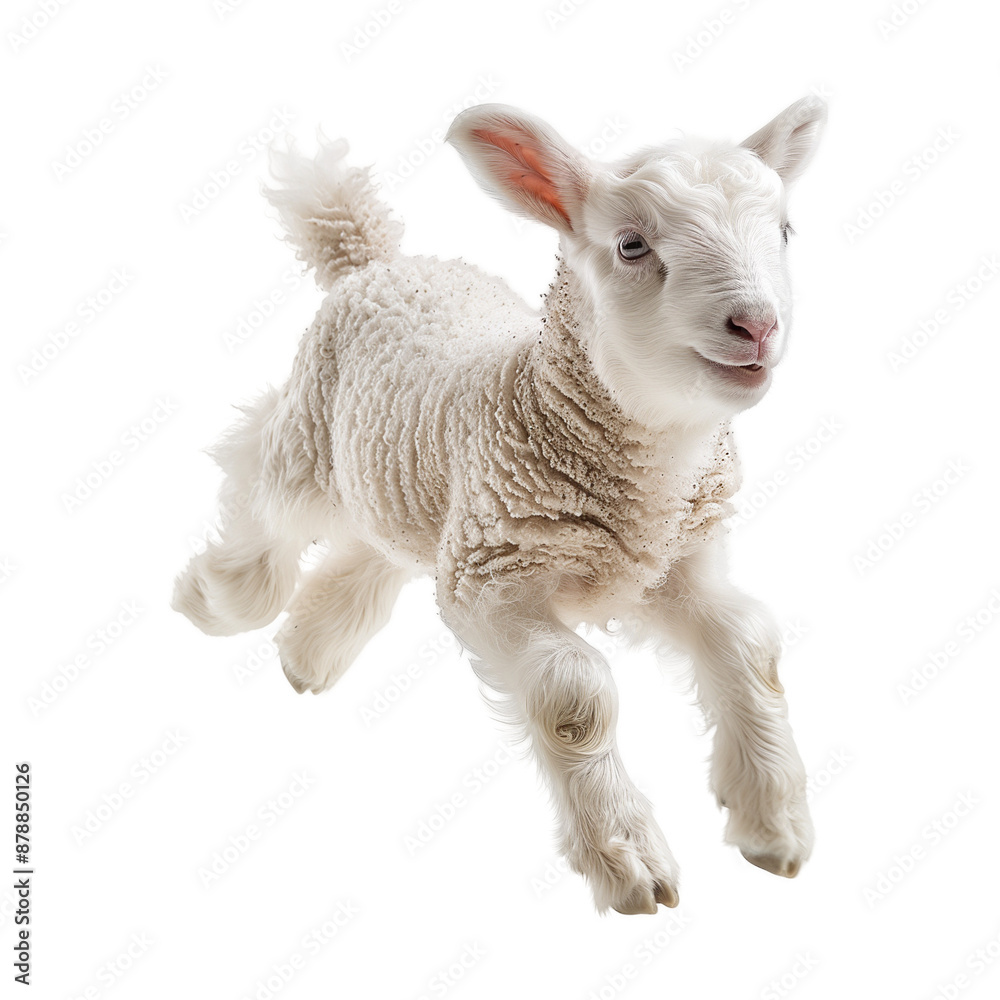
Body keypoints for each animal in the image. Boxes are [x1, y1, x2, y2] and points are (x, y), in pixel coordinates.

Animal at [173, 97, 827, 915]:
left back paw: (308, 653)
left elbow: (750, 645)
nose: (757, 327)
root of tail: (377, 260)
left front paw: (774, 821)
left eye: (786, 231)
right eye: (632, 245)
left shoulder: (673, 562)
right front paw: (628, 858)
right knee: (259, 481)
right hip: (311, 442)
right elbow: (577, 693)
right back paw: (216, 597)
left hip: (415, 481)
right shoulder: (494, 579)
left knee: (377, 546)